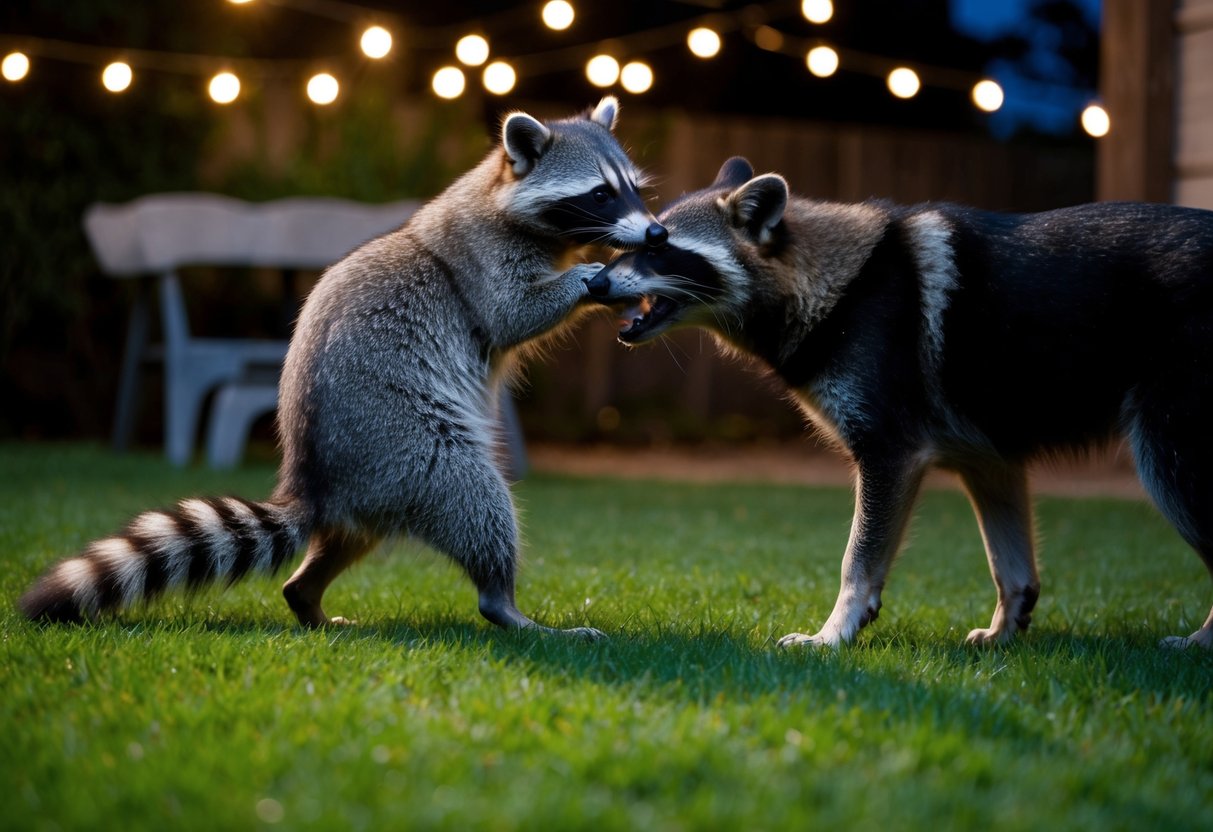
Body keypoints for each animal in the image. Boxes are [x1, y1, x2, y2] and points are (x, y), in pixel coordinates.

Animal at [20, 97, 664, 637]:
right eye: (601, 195)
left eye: (632, 188)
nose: (656, 231)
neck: (504, 193)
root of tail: (312, 481)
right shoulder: (483, 260)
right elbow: (512, 314)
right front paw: (589, 279)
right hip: (407, 446)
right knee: (477, 499)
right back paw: (504, 603)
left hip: (374, 489)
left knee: (348, 541)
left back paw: (305, 596)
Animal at [587, 156, 1213, 649]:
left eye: (661, 248)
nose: (593, 283)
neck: (835, 283)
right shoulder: (986, 452)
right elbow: (1009, 561)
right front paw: (1008, 623)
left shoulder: (891, 445)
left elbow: (857, 558)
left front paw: (834, 631)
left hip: (1171, 445)